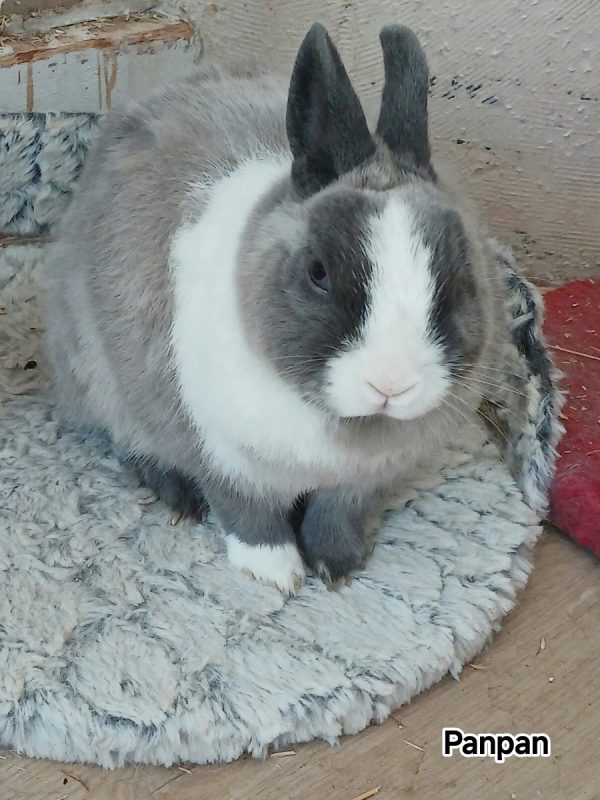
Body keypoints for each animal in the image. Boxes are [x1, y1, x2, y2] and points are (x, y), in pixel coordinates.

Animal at [45, 23, 544, 596]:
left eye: (459, 277)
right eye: (318, 272)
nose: (391, 385)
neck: (340, 425)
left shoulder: (357, 483)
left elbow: (334, 515)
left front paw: (338, 566)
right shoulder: (222, 454)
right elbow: (247, 514)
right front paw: (276, 575)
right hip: (100, 380)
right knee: (129, 441)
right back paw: (178, 498)